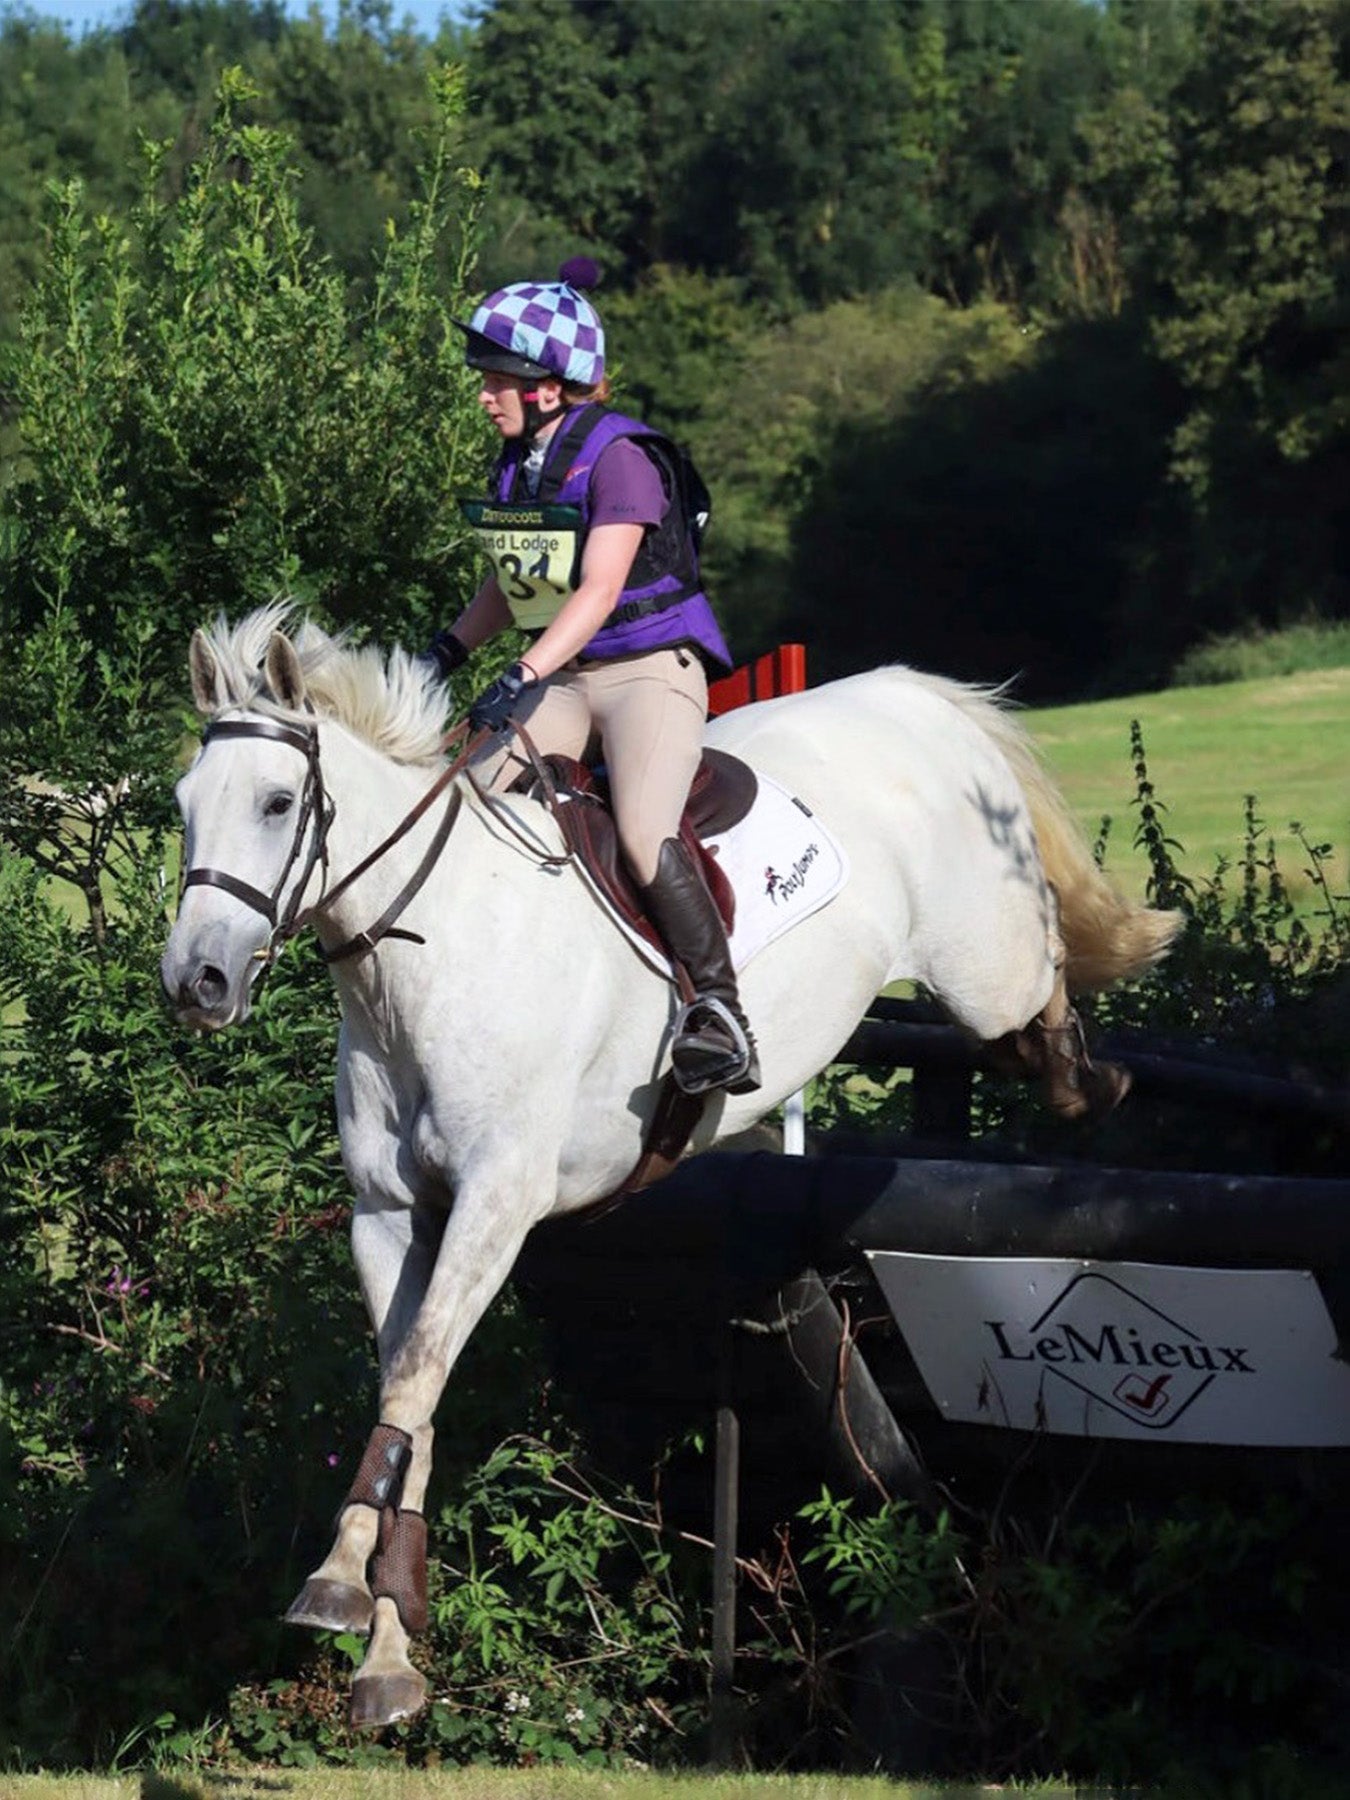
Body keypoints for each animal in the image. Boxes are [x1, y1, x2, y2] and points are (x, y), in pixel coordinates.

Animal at [160, 605, 1181, 1727]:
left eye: (277, 801)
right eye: (183, 809)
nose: (195, 982)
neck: (426, 963)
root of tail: (911, 696)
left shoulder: (497, 1205)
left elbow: (417, 1378)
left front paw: (342, 1586)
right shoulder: (388, 1214)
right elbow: (408, 1401)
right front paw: (385, 1653)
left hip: (985, 962)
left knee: (1040, 991)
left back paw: (1090, 1080)